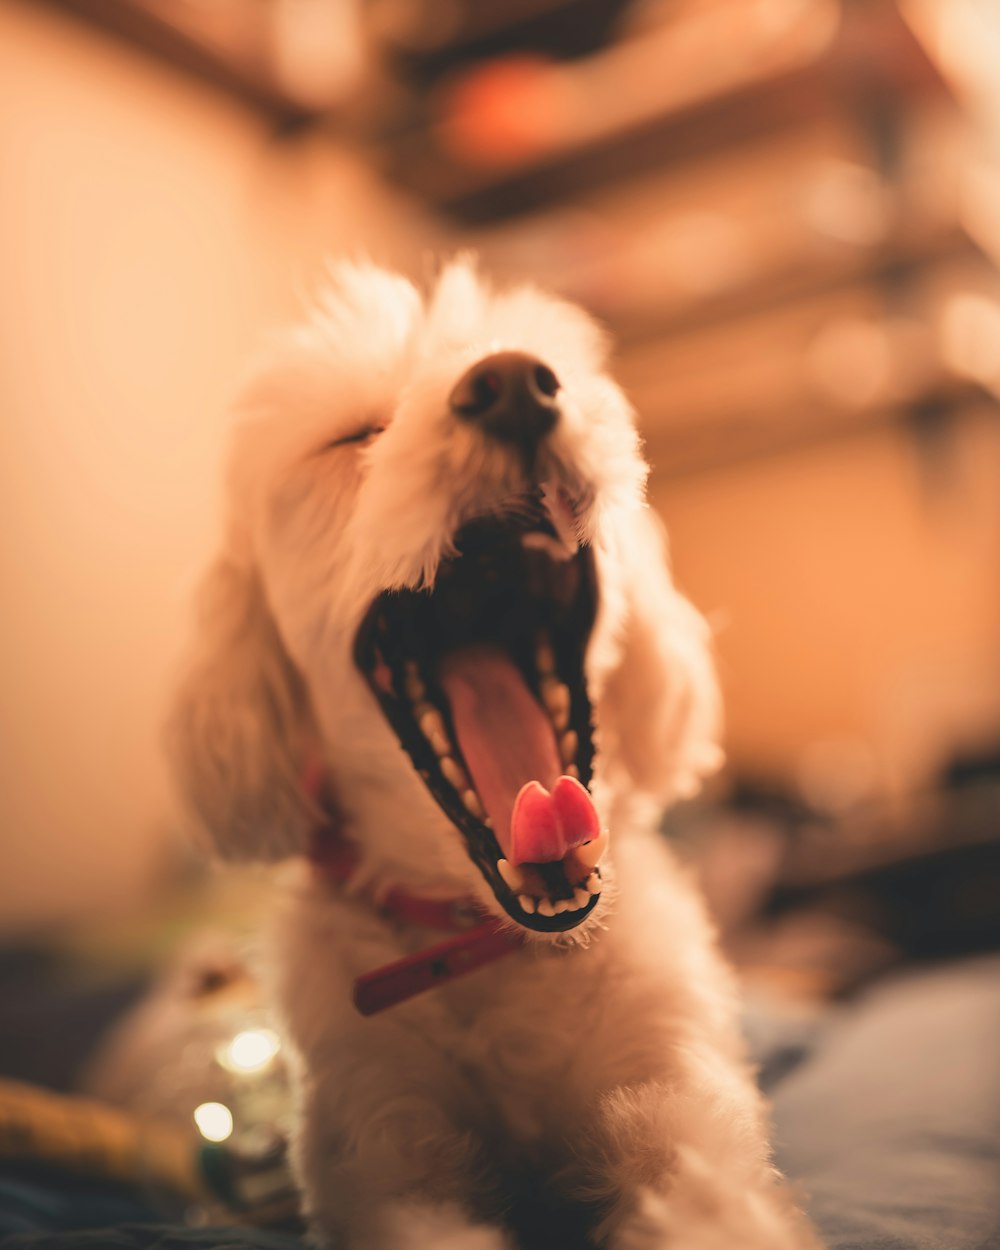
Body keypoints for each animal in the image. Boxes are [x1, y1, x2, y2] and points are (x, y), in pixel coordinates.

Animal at [167, 256, 815, 1250]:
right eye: (354, 436)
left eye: (553, 371)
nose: (511, 384)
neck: (494, 944)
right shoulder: (381, 1143)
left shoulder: (672, 1088)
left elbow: (709, 1204)